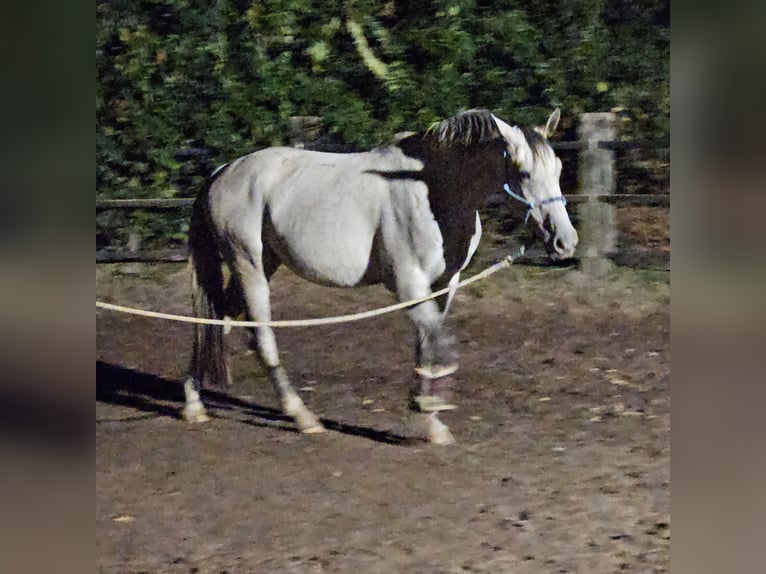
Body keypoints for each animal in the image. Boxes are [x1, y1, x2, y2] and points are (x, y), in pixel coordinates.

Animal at [183, 110, 580, 448]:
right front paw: (430, 408)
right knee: (261, 338)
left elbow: (426, 344)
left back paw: (193, 404)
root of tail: (222, 172)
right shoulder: (408, 286)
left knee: (215, 321)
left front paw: (431, 419)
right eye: (523, 172)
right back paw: (303, 417)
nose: (566, 242)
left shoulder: (444, 286)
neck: (436, 193)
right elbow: (438, 342)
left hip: (264, 264)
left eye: (558, 167)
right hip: (248, 266)